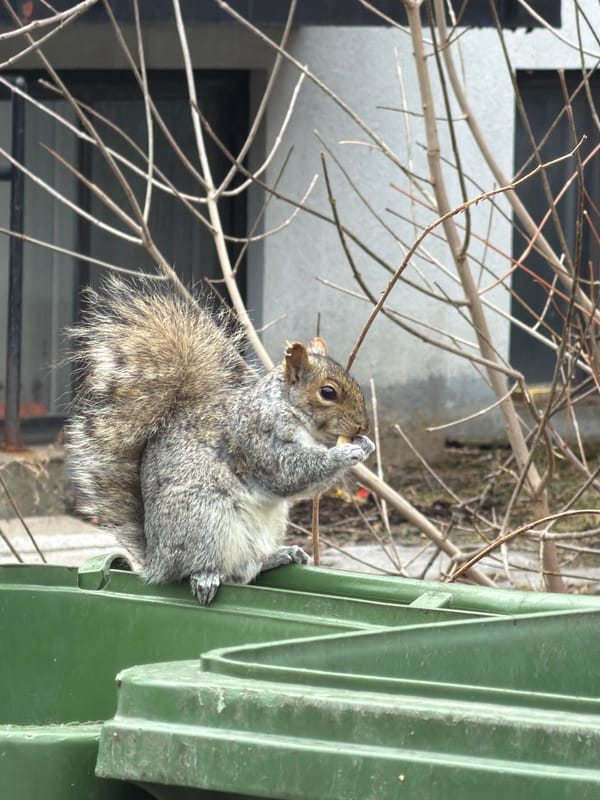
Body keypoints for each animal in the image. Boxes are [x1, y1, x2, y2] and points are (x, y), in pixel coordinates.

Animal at [65, 277, 375, 604]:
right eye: (328, 393)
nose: (363, 425)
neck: (287, 407)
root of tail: (156, 561)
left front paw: (364, 445)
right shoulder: (255, 436)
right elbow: (288, 472)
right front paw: (345, 454)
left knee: (245, 569)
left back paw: (278, 555)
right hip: (204, 519)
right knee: (199, 569)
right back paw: (205, 577)